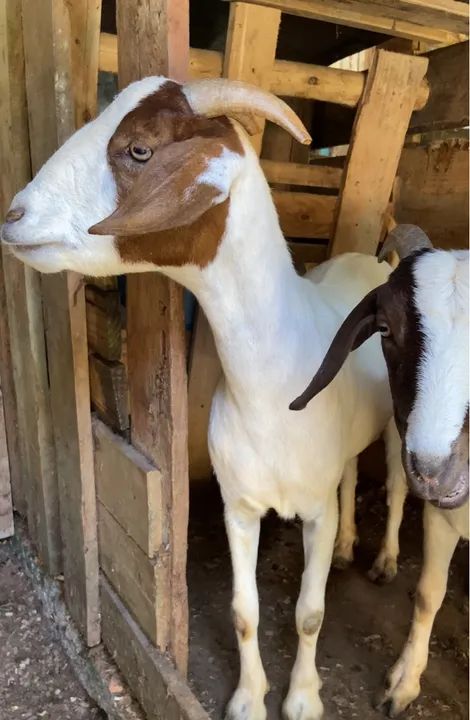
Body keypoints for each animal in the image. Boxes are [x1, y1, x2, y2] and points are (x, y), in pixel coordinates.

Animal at [3, 76, 404, 720]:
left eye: (140, 150)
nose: (14, 215)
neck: (274, 392)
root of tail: (372, 261)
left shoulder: (313, 511)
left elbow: (310, 613)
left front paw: (303, 698)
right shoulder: (237, 504)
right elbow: (244, 611)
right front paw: (248, 699)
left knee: (392, 479)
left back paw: (384, 558)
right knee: (348, 474)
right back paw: (348, 547)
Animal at [291, 224, 469, 715]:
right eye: (386, 329)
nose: (433, 469)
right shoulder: (441, 516)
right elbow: (428, 594)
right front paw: (403, 684)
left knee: (392, 482)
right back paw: (348, 545)